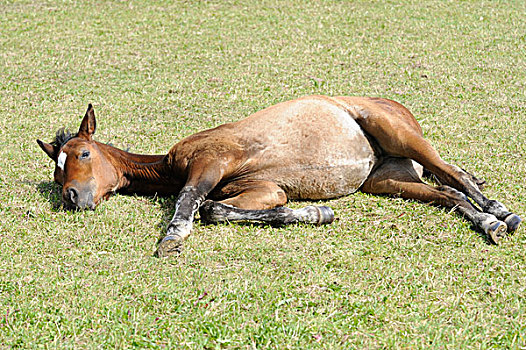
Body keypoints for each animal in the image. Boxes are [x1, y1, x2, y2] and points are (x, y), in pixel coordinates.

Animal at [38, 95, 524, 258]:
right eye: (56, 173)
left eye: (82, 152)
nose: (71, 198)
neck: (169, 164)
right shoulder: (265, 190)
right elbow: (219, 209)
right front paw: (316, 214)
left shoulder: (209, 164)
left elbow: (193, 202)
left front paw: (172, 238)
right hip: (388, 179)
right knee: (449, 193)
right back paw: (488, 223)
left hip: (400, 135)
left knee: (457, 176)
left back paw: (503, 213)